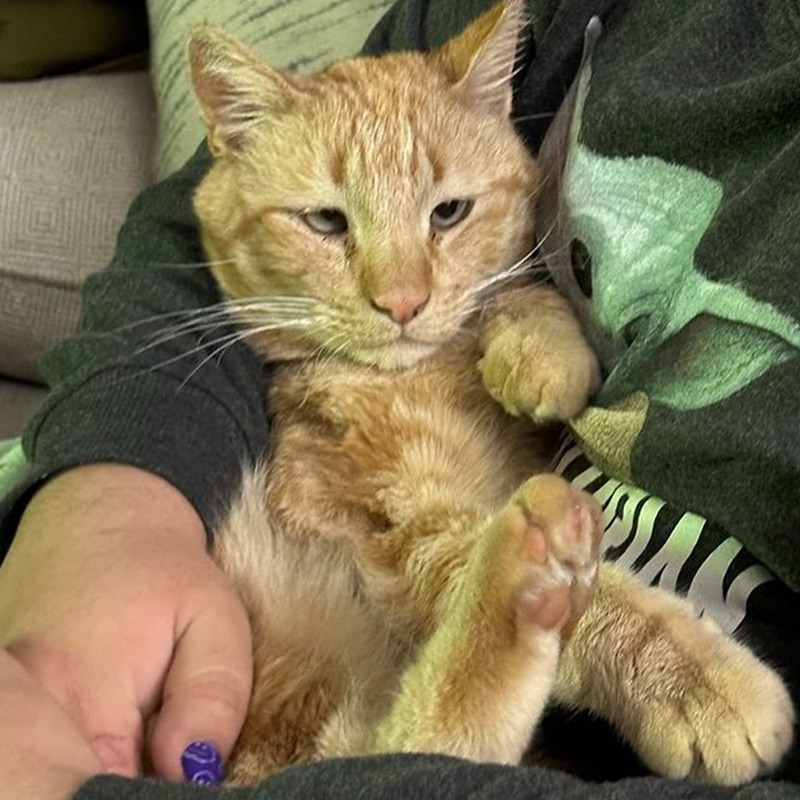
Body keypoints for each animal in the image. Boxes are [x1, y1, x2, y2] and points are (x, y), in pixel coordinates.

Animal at [188, 1, 792, 788]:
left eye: (449, 213)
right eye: (325, 221)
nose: (402, 303)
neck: (425, 371)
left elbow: (508, 291)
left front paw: (538, 352)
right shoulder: (397, 530)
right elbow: (585, 602)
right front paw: (691, 678)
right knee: (410, 748)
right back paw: (528, 565)